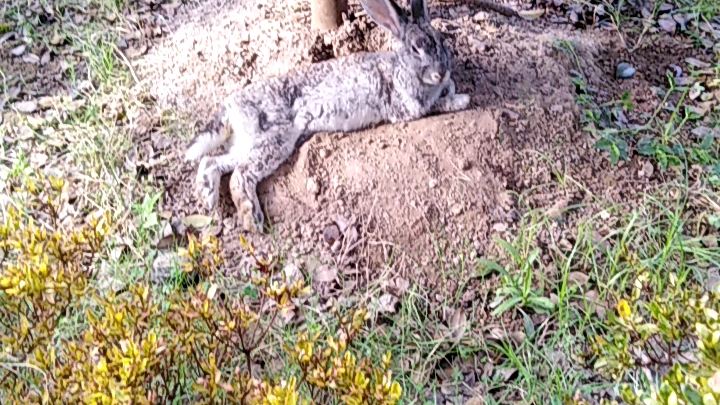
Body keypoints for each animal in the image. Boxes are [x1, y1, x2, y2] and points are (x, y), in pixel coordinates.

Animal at [183, 0, 470, 234]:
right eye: (415, 49)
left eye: (442, 41)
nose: (441, 72)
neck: (401, 69)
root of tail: (231, 108)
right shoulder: (409, 107)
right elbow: (438, 104)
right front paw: (461, 99)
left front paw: (451, 87)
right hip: (272, 140)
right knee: (240, 175)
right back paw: (251, 218)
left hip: (248, 143)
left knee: (212, 162)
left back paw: (207, 197)